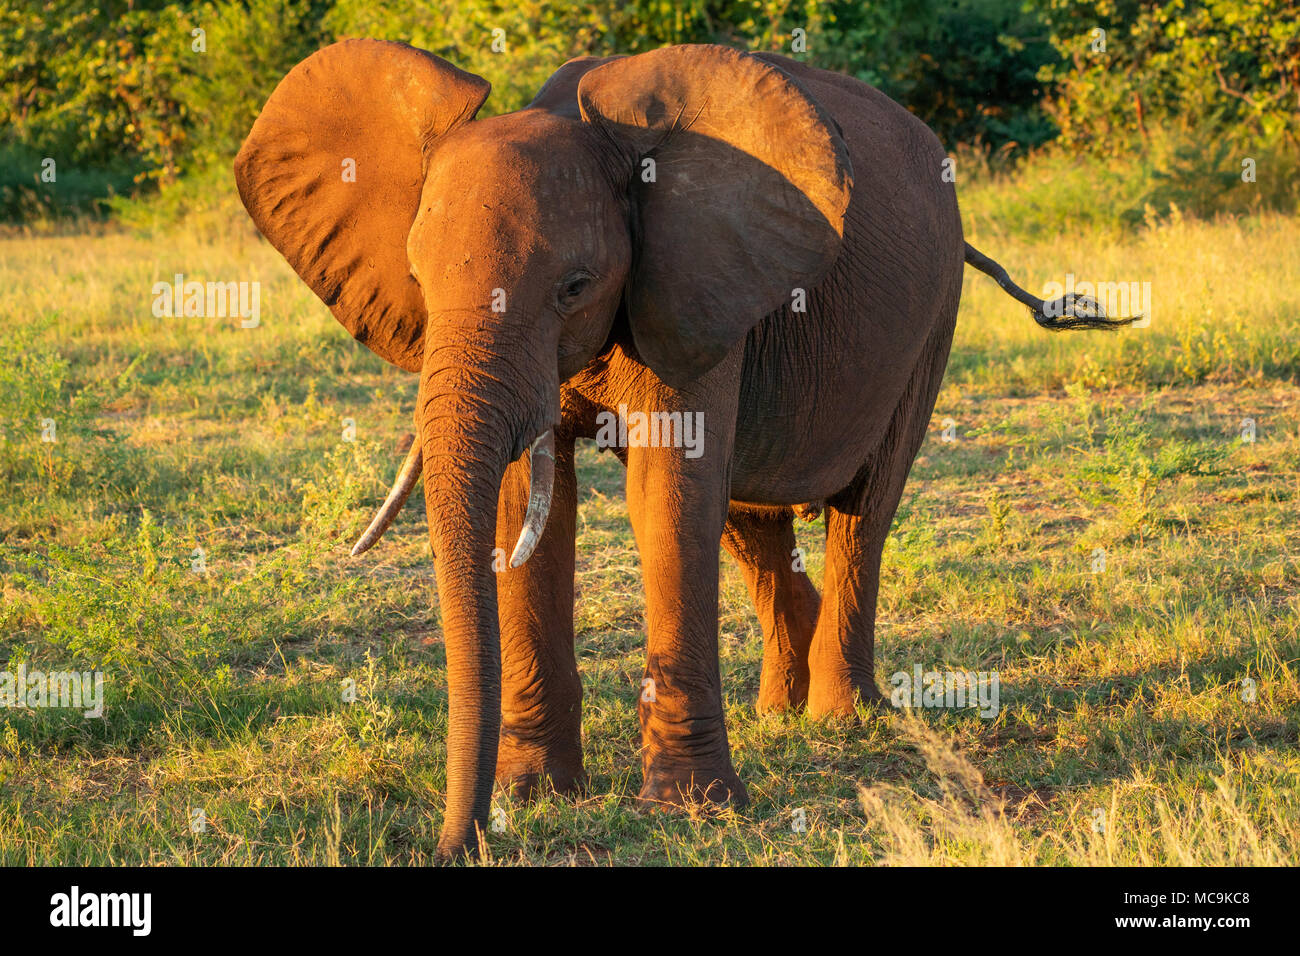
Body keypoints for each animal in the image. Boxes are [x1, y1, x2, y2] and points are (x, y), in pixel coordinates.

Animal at [236, 39, 1138, 858]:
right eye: (418, 283)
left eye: (574, 287)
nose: (459, 845)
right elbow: (533, 512)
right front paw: (536, 797)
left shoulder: (694, 277)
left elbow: (667, 496)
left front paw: (693, 810)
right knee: (751, 519)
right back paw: (780, 706)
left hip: (932, 314)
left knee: (862, 508)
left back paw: (841, 715)